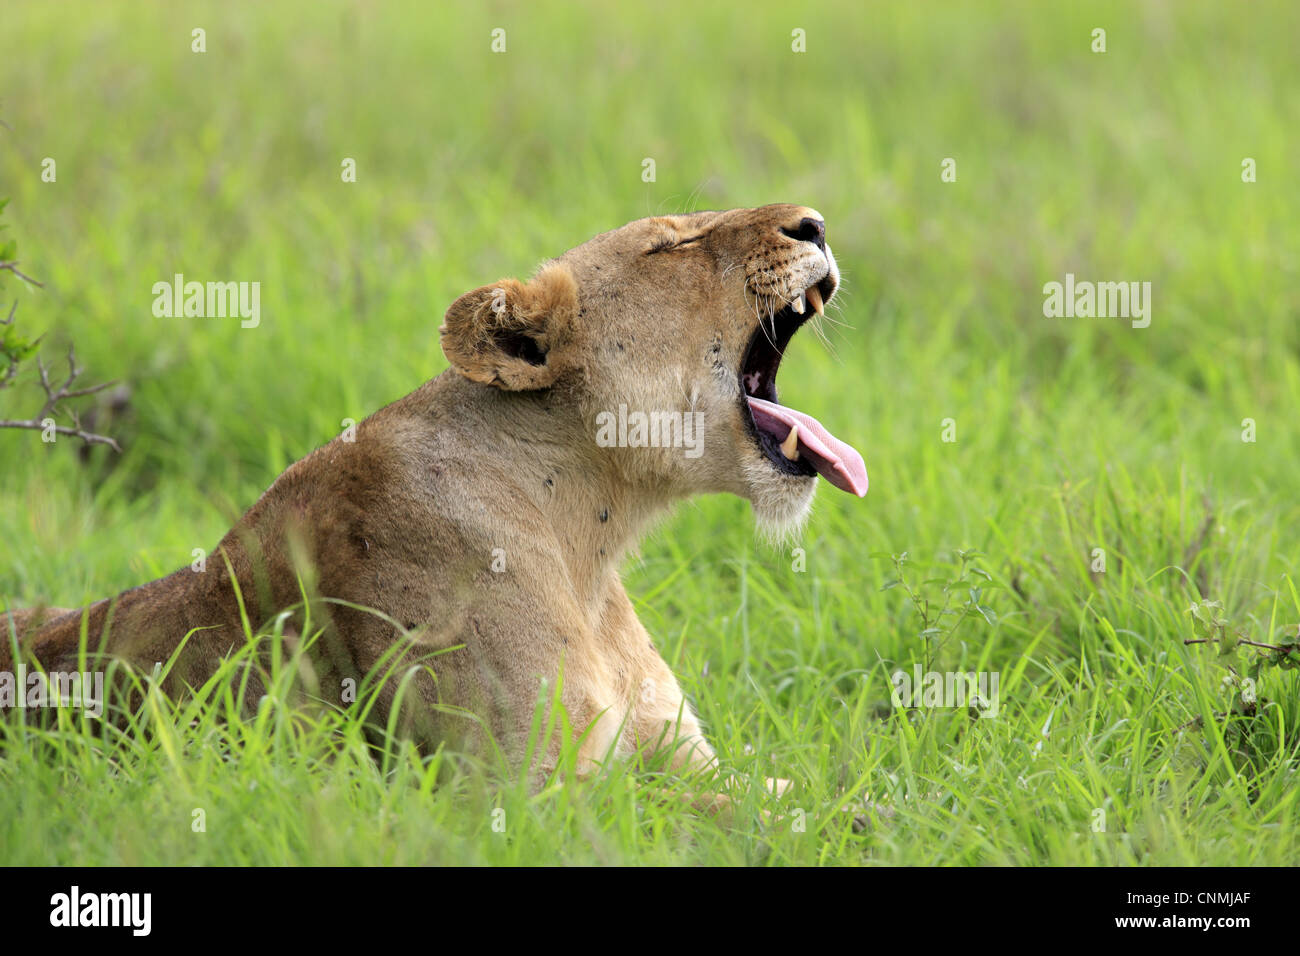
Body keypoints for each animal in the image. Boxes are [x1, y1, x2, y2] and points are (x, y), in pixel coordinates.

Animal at [2, 204, 867, 810]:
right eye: (673, 246)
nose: (817, 223)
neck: (590, 541)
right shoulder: (512, 796)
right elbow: (720, 818)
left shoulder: (677, 755)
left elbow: (809, 788)